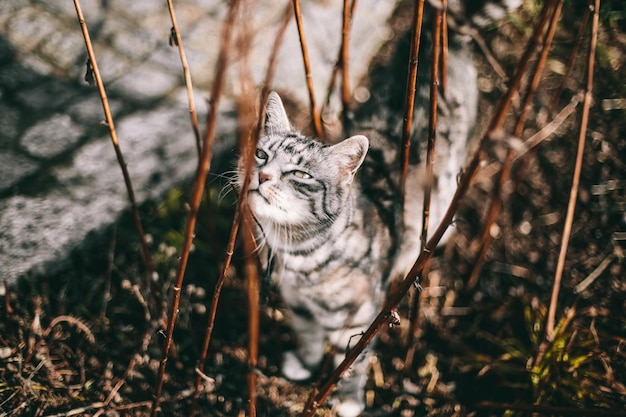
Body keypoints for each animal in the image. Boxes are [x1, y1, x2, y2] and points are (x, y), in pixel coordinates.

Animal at [240, 1, 520, 414]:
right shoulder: (300, 310)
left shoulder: (360, 315)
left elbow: (352, 362)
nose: (262, 176)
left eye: (299, 174)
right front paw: (304, 364)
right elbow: (308, 338)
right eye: (261, 155)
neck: (300, 256)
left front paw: (348, 401)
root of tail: (440, 33)